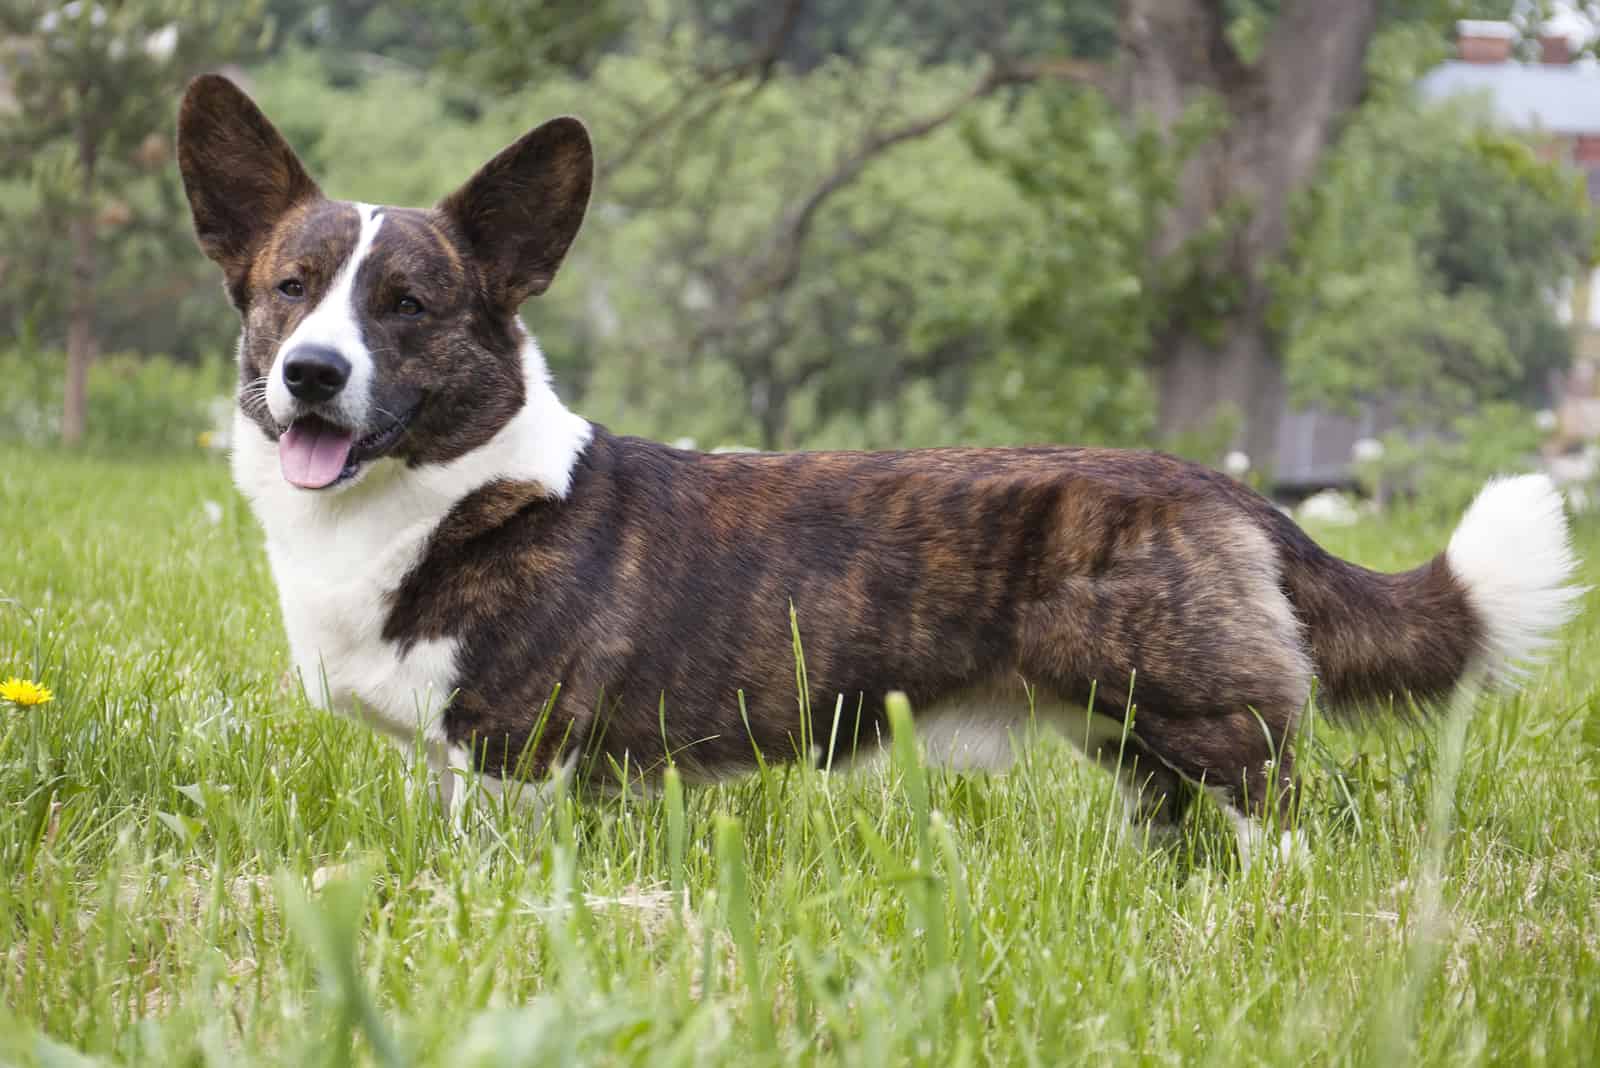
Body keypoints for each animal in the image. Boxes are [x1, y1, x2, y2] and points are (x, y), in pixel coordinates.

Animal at [178, 73, 1587, 856]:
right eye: (291, 288)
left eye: (408, 305)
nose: (312, 375)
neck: (443, 496)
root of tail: (1228, 489)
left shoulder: (510, 761)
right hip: (1142, 747)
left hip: (1213, 727)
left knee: (1286, 835)